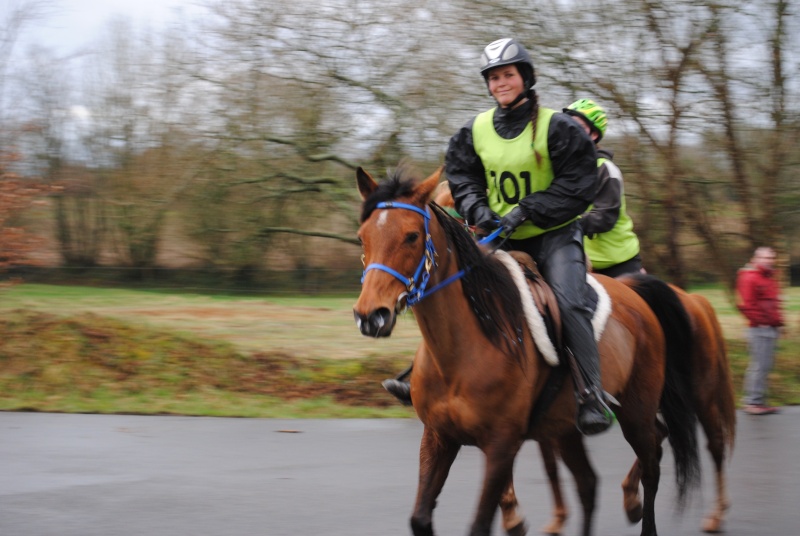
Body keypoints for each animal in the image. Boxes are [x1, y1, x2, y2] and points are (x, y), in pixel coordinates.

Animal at [354, 165, 696, 532]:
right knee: (589, 484)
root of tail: (633, 292)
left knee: (652, 463)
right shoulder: (438, 437)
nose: (371, 316)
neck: (459, 353)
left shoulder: (501, 446)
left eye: (412, 236)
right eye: (362, 237)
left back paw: (635, 504)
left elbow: (480, 523)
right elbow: (420, 518)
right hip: (567, 428)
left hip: (636, 412)